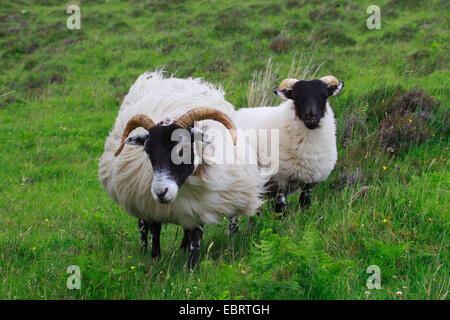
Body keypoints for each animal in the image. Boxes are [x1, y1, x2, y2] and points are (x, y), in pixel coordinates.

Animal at [98, 71, 266, 268]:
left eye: (182, 150)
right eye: (147, 151)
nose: (161, 192)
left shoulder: (201, 204)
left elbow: (196, 237)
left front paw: (191, 268)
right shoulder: (152, 206)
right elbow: (155, 231)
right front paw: (155, 261)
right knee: (143, 226)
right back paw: (143, 249)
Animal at [229, 75, 344, 230]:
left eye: (323, 96)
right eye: (296, 97)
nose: (311, 116)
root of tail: (238, 112)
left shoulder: (309, 182)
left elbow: (304, 205)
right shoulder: (280, 180)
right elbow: (280, 209)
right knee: (233, 215)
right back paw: (234, 232)